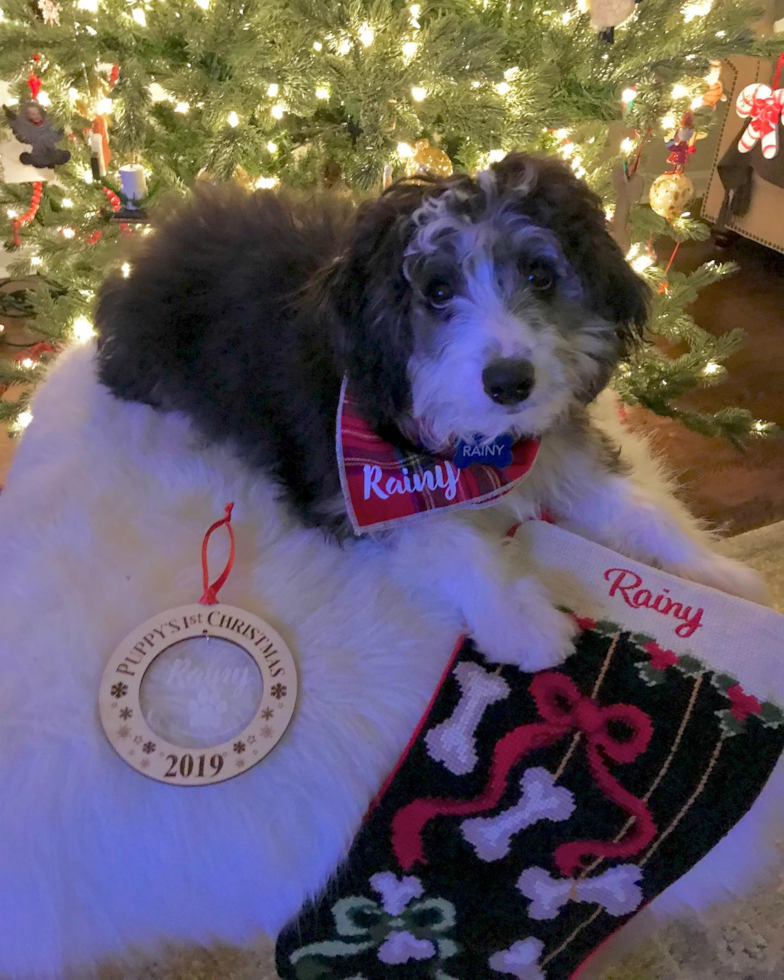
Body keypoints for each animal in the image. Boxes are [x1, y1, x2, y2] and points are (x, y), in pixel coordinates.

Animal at [95, 155, 764, 672]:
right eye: (437, 290)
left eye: (540, 274)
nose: (510, 383)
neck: (481, 448)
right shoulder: (359, 494)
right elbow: (451, 539)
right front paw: (522, 620)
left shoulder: (563, 454)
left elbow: (646, 512)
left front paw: (725, 578)